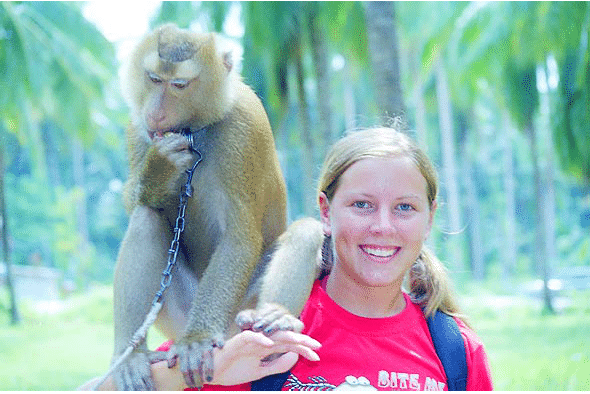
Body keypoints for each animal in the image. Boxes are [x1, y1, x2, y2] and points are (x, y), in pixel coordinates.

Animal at [112, 24, 322, 390]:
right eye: (153, 78)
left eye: (179, 85)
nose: (156, 113)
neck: (196, 130)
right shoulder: (138, 127)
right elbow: (133, 199)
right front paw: (160, 170)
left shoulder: (244, 129)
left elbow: (239, 237)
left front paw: (197, 340)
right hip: (177, 313)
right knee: (145, 218)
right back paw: (131, 354)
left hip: (234, 315)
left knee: (307, 230)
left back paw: (276, 319)